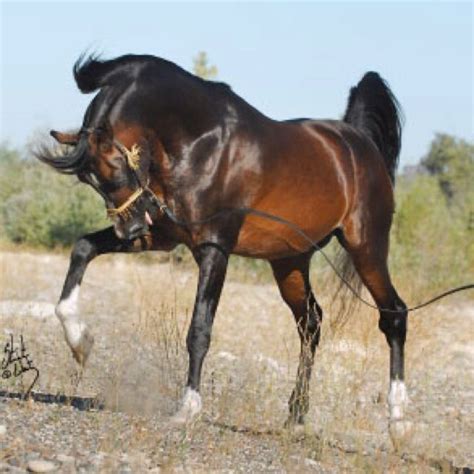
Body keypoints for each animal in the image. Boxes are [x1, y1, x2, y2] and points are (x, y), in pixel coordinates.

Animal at [37, 53, 408, 428]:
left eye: (114, 167)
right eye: (88, 180)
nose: (131, 228)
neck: (202, 144)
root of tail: (358, 144)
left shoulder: (214, 248)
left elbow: (200, 329)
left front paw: (188, 407)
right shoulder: (163, 236)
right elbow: (83, 248)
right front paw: (80, 341)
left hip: (366, 247)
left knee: (393, 314)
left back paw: (399, 419)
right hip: (289, 260)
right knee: (311, 324)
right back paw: (297, 414)